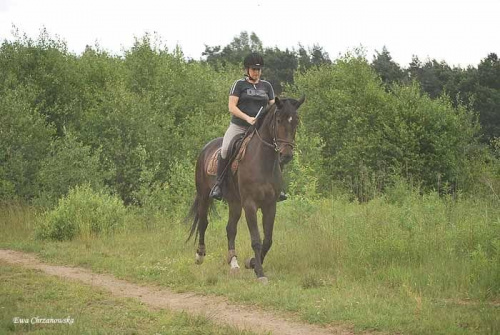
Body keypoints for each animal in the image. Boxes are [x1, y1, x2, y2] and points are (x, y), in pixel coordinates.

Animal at [188, 96, 304, 284]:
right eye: (279, 120)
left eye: (296, 121)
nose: (286, 155)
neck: (263, 161)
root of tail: (206, 148)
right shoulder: (250, 204)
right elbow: (256, 239)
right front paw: (260, 273)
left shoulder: (270, 205)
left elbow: (268, 240)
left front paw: (252, 263)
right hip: (204, 195)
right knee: (204, 222)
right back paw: (200, 255)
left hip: (235, 202)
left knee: (230, 229)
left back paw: (233, 263)